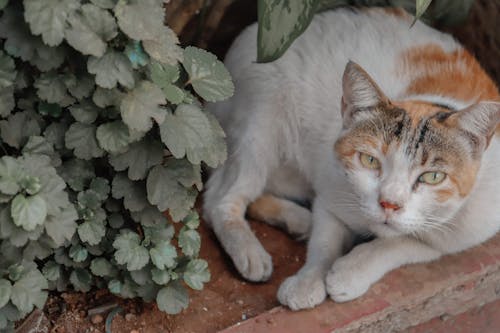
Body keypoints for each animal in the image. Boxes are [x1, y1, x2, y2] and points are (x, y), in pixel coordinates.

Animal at [201, 6, 498, 310]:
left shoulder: (463, 232)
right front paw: (308, 281)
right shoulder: (330, 190)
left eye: (432, 177)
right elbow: (324, 243)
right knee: (219, 200)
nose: (389, 204)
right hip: (261, 123)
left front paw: (350, 271)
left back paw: (300, 220)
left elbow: (406, 243)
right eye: (370, 161)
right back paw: (253, 249)